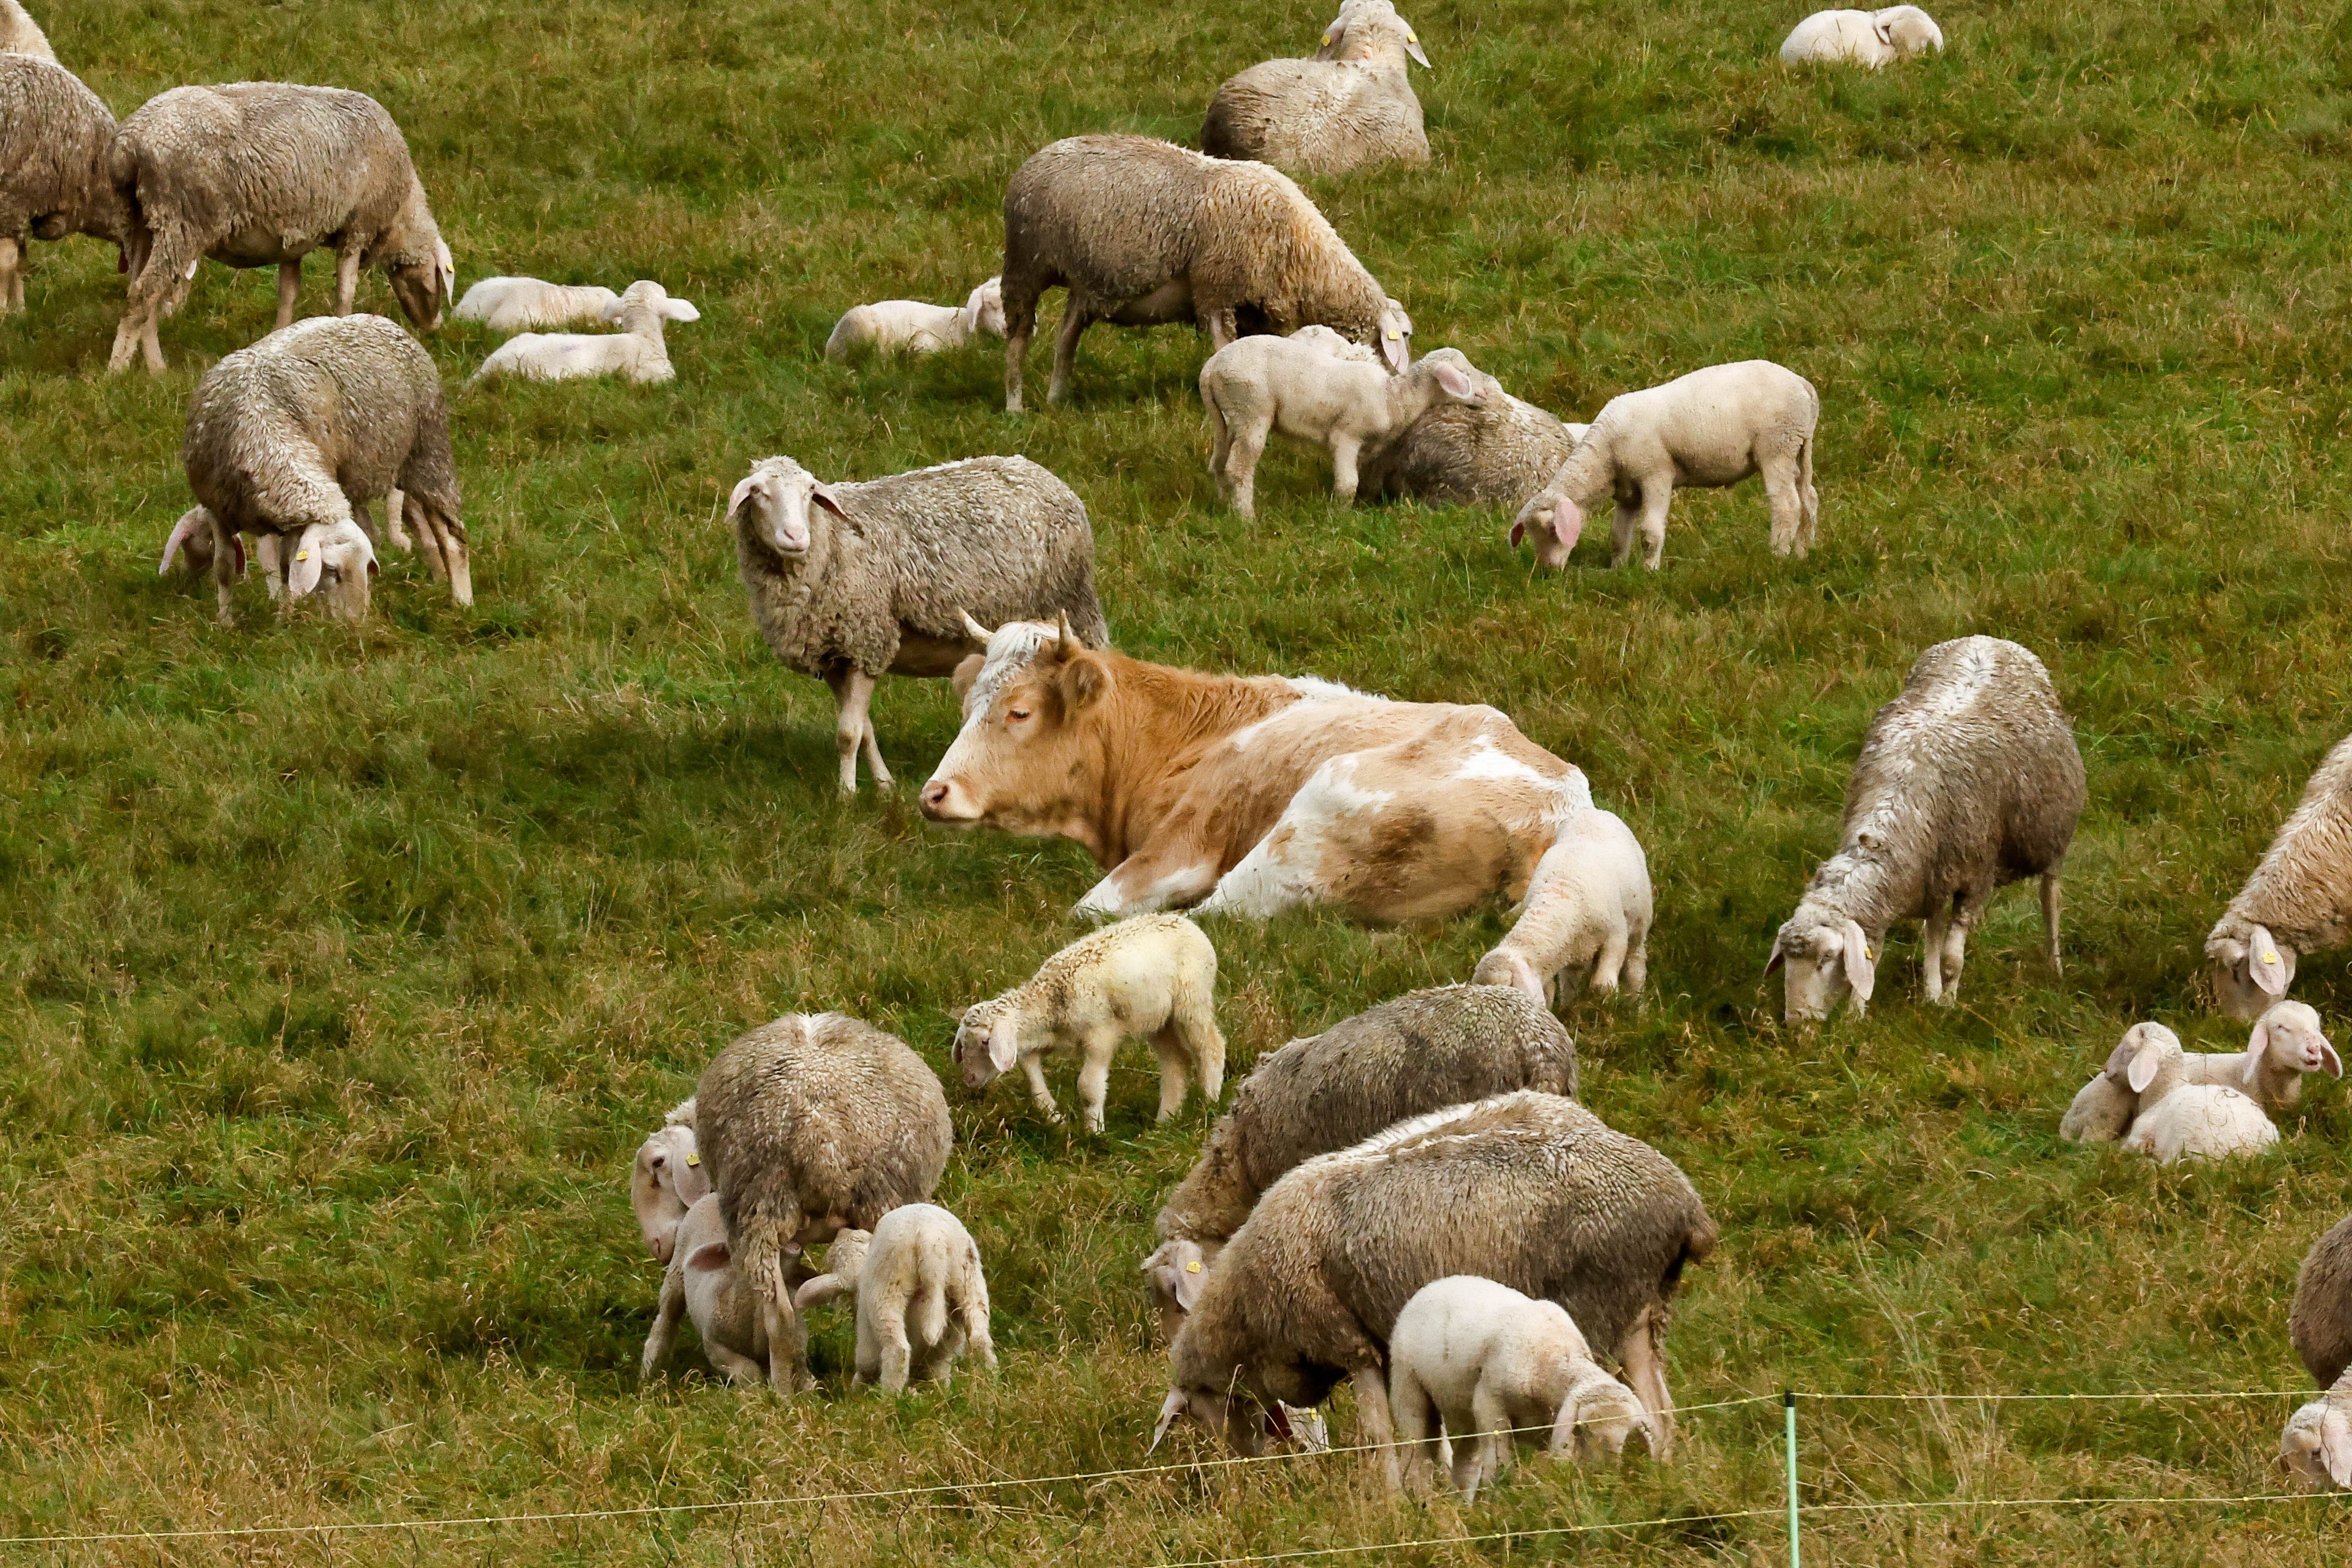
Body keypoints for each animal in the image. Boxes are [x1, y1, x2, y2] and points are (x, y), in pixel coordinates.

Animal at [917, 617, 1601, 929]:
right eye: (967, 705)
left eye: (1019, 712)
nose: (934, 794)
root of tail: (1564, 808)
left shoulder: (1183, 846)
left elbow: (1086, 911)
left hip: (1303, 827)